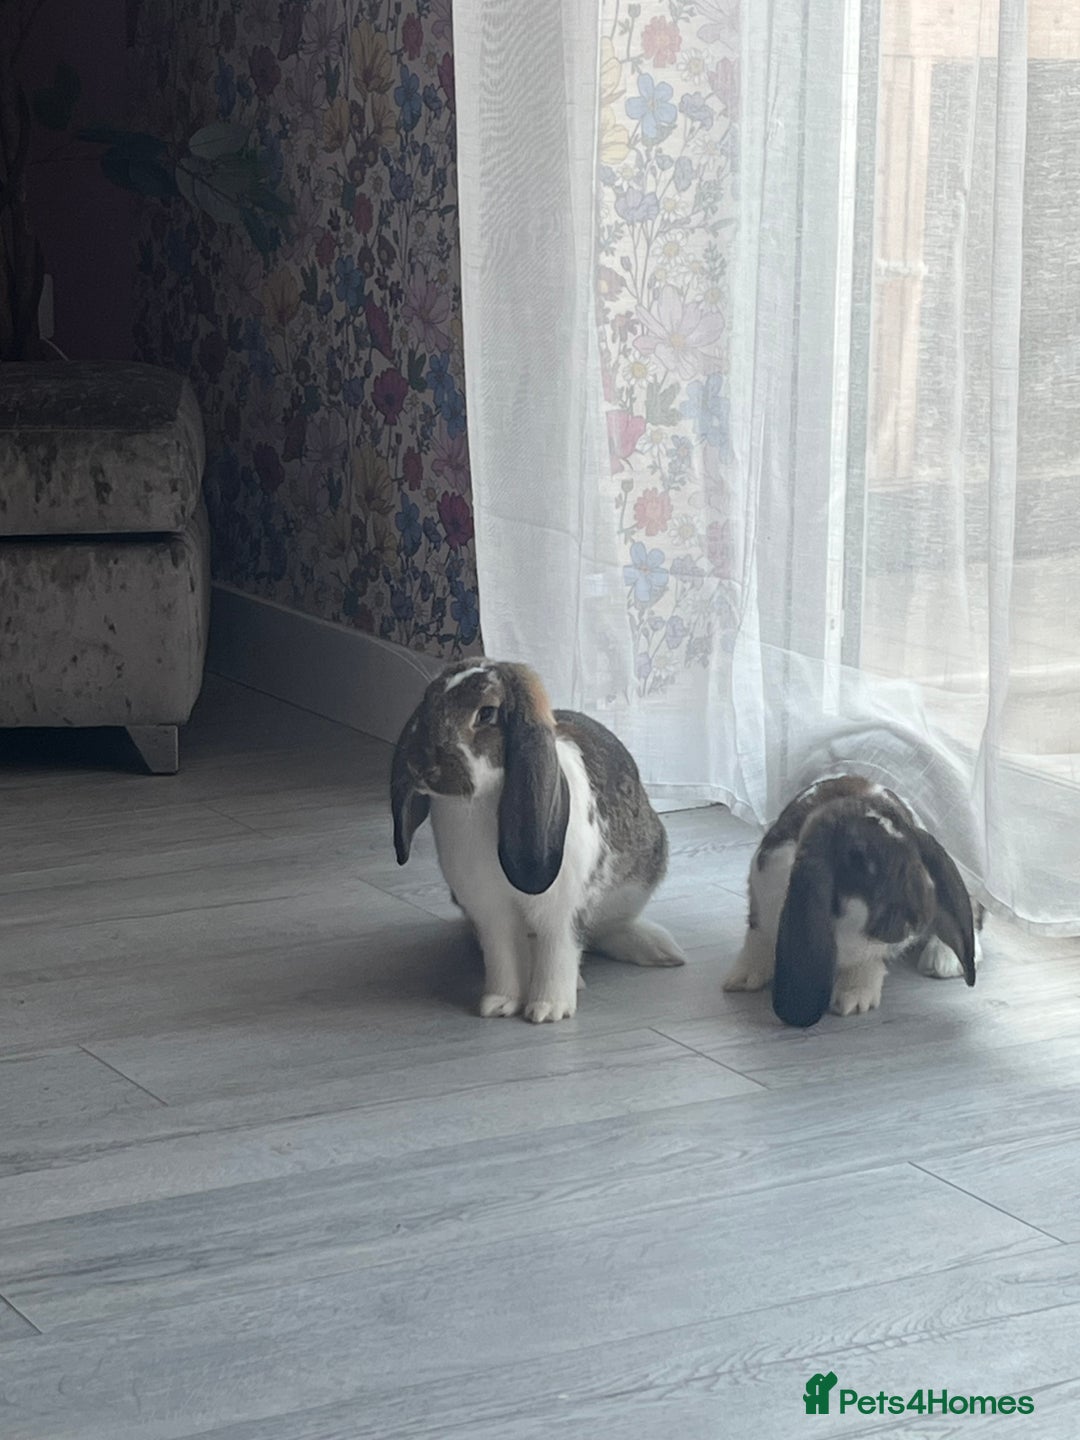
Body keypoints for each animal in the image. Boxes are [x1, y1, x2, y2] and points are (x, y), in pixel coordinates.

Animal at [391, 659, 685, 1023]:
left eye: (486, 714)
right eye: (428, 701)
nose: (420, 765)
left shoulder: (560, 909)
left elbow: (558, 951)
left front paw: (548, 1010)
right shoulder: (489, 911)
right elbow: (502, 955)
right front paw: (499, 1004)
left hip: (638, 880)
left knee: (604, 930)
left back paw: (660, 949)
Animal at [723, 775, 983, 1027]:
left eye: (916, 857)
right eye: (859, 860)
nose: (918, 919)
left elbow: (866, 963)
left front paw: (852, 999)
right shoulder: (761, 898)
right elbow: (757, 938)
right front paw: (742, 978)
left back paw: (944, 961)